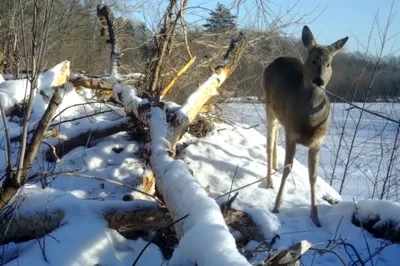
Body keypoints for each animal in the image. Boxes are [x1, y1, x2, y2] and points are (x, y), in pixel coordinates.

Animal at [262, 25, 346, 227]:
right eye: (314, 60)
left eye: (329, 64)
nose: (319, 81)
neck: (310, 120)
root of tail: (277, 60)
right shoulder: (292, 134)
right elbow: (288, 168)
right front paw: (276, 207)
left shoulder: (318, 142)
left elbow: (313, 177)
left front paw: (316, 217)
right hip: (269, 106)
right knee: (269, 142)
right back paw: (269, 180)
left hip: (280, 116)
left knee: (275, 138)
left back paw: (274, 166)